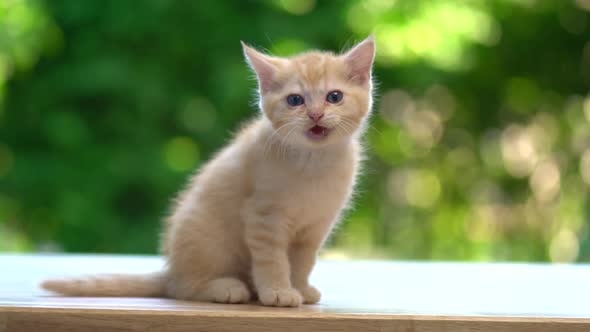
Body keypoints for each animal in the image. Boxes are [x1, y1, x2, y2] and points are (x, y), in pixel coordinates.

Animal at [41, 35, 376, 306]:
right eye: (295, 100)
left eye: (334, 97)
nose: (315, 114)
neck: (314, 162)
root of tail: (171, 271)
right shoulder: (262, 217)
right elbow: (273, 260)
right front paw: (279, 291)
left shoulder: (316, 226)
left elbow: (303, 261)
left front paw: (301, 287)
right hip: (206, 238)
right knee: (184, 289)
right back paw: (226, 287)